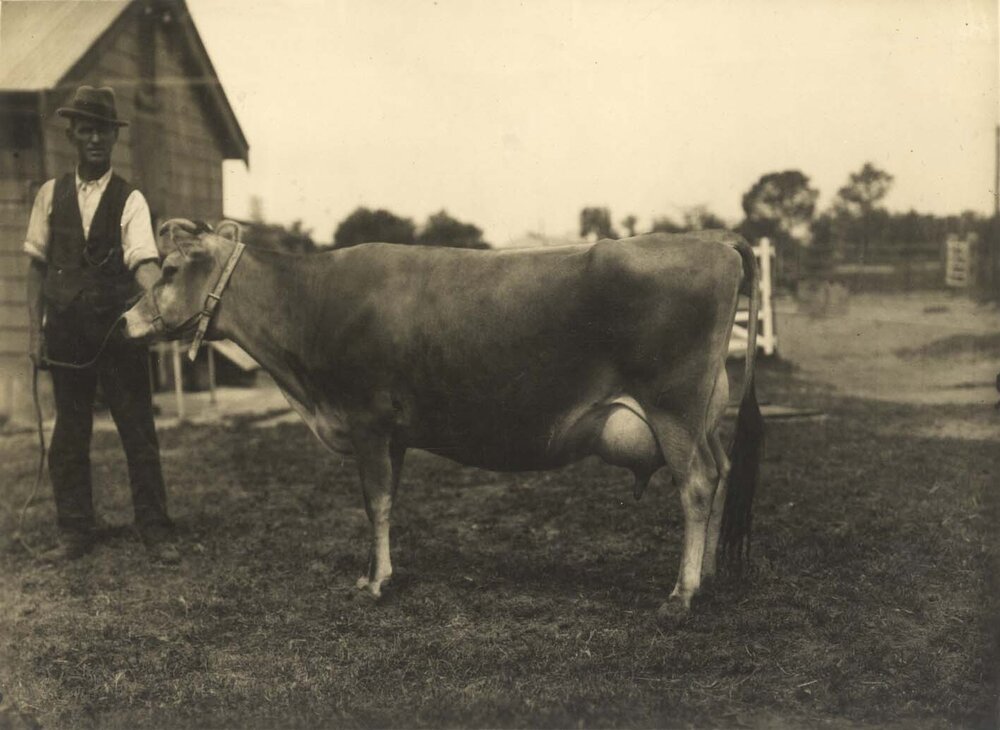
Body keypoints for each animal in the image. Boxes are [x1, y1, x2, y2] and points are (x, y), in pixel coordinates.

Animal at [123, 220, 764, 623]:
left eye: (171, 269)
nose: (127, 319)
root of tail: (714, 238)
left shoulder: (366, 419)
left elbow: (375, 502)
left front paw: (375, 583)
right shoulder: (394, 433)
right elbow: (388, 503)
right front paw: (383, 573)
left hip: (674, 405)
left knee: (696, 484)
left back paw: (681, 594)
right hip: (704, 412)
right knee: (722, 471)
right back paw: (708, 576)